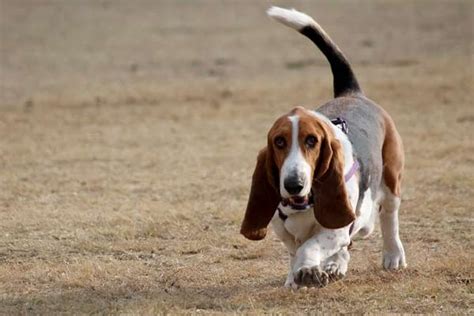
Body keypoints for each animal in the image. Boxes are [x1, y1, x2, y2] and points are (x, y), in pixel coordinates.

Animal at [241, 6, 408, 288]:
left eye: (312, 141)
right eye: (279, 142)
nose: (293, 184)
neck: (304, 202)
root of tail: (351, 92)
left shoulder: (336, 228)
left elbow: (310, 246)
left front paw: (308, 270)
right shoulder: (283, 229)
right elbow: (295, 249)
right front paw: (296, 276)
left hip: (390, 180)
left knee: (387, 218)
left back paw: (392, 255)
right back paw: (335, 265)